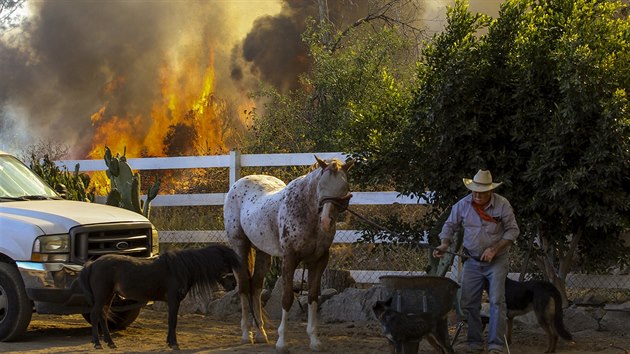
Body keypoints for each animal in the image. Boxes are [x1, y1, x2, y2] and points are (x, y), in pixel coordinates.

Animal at [223, 156, 354, 352]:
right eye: (321, 185)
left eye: (344, 187)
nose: (326, 221)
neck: (306, 212)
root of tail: (237, 184)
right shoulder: (290, 259)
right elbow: (287, 298)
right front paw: (282, 342)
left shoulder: (319, 261)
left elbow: (313, 297)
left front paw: (314, 340)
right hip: (240, 246)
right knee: (244, 286)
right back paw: (247, 335)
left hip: (263, 252)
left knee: (256, 286)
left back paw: (260, 333)